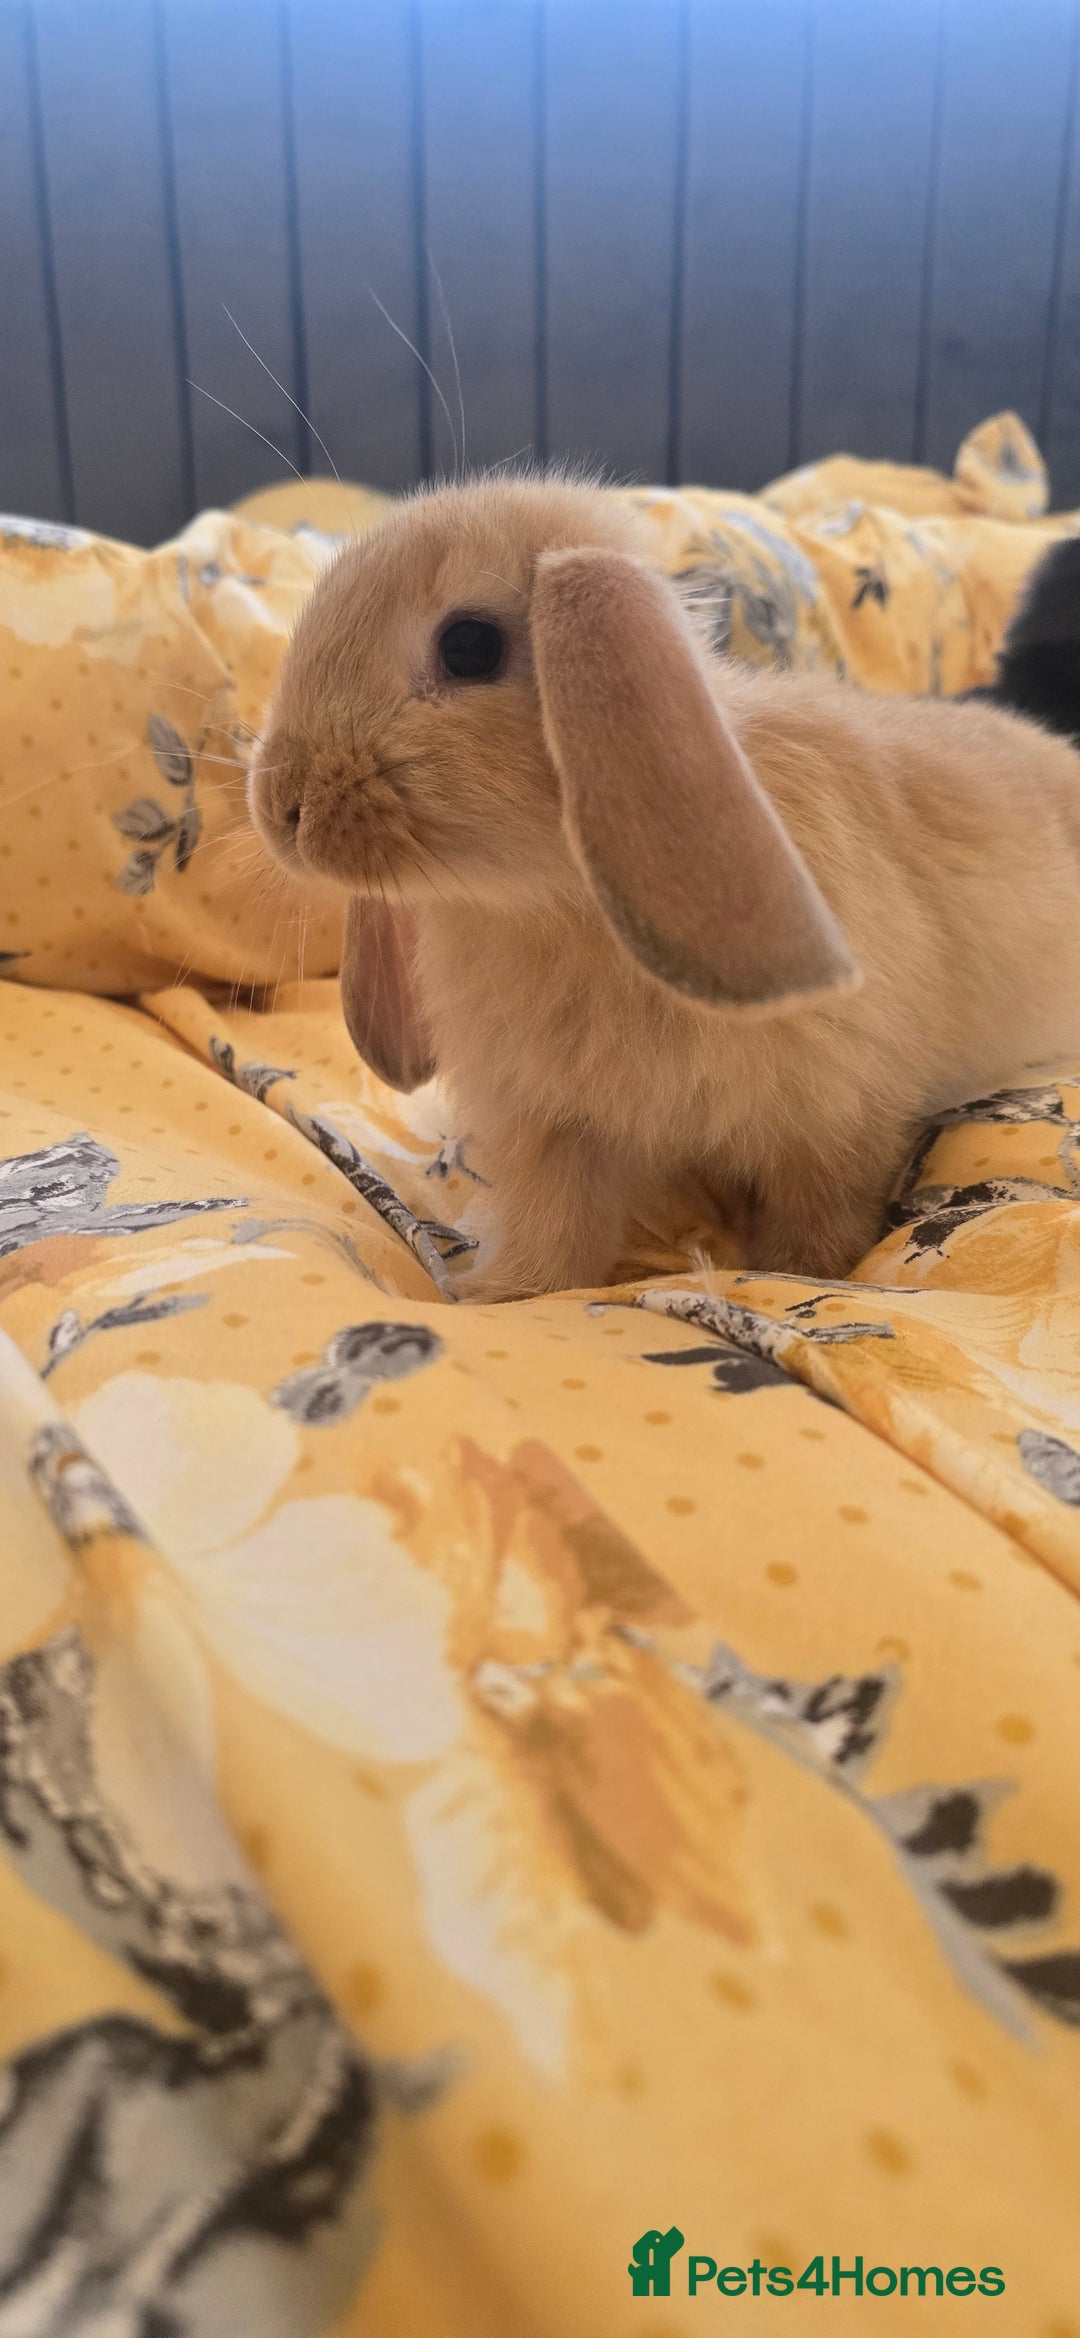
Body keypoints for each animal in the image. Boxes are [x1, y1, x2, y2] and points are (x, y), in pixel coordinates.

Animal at [247, 471, 1080, 1300]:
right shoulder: (552, 1130)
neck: (561, 897)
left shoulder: (836, 1123)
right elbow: (556, 1230)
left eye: (469, 647)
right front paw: (501, 1295)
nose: (279, 807)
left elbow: (820, 1220)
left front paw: (794, 1276)